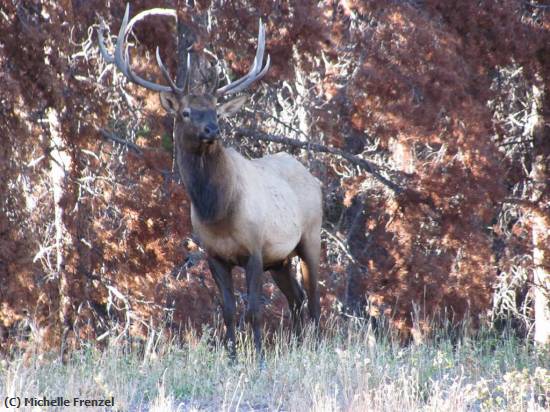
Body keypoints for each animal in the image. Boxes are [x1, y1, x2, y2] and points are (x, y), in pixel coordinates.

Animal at [99, 4, 324, 358]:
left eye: (216, 112)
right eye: (186, 112)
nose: (213, 130)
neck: (217, 210)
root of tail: (313, 178)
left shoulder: (255, 249)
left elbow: (253, 310)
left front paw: (258, 358)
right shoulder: (214, 255)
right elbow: (228, 311)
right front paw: (232, 357)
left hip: (311, 237)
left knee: (313, 300)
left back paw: (316, 347)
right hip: (281, 258)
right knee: (297, 300)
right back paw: (300, 346)